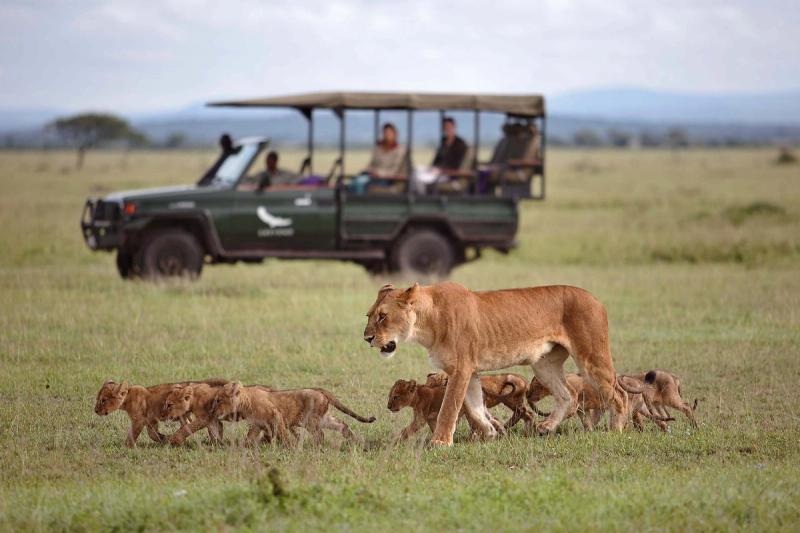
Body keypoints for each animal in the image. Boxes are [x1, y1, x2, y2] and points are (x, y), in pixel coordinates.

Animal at [93, 378, 227, 447]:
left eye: (103, 400)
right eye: (98, 399)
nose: (95, 411)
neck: (128, 399)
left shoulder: (139, 421)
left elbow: (133, 434)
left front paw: (126, 446)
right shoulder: (150, 421)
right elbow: (152, 434)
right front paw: (164, 438)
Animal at [213, 382, 376, 446]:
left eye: (219, 400)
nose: (213, 411)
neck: (245, 401)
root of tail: (320, 390)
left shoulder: (276, 416)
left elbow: (283, 434)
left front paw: (289, 447)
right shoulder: (257, 425)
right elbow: (249, 438)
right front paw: (246, 447)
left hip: (311, 421)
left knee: (320, 435)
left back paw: (315, 447)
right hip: (323, 418)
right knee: (342, 425)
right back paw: (352, 439)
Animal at [363, 282, 627, 445]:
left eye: (383, 316)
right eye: (369, 315)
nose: (366, 338)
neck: (426, 323)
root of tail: (595, 298)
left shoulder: (461, 369)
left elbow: (449, 408)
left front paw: (440, 442)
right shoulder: (470, 372)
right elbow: (475, 407)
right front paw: (490, 433)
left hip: (592, 357)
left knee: (619, 393)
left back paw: (617, 429)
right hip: (543, 364)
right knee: (568, 394)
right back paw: (546, 427)